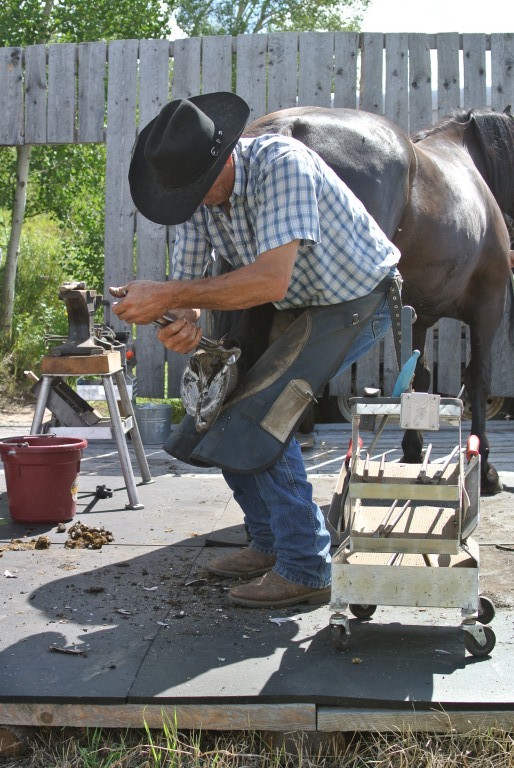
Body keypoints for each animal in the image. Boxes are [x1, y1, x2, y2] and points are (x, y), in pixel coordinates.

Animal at [244, 105, 512, 496]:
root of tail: (287, 128)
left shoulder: (418, 314)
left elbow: (418, 375)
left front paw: (413, 449)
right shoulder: (487, 307)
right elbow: (479, 379)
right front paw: (487, 471)